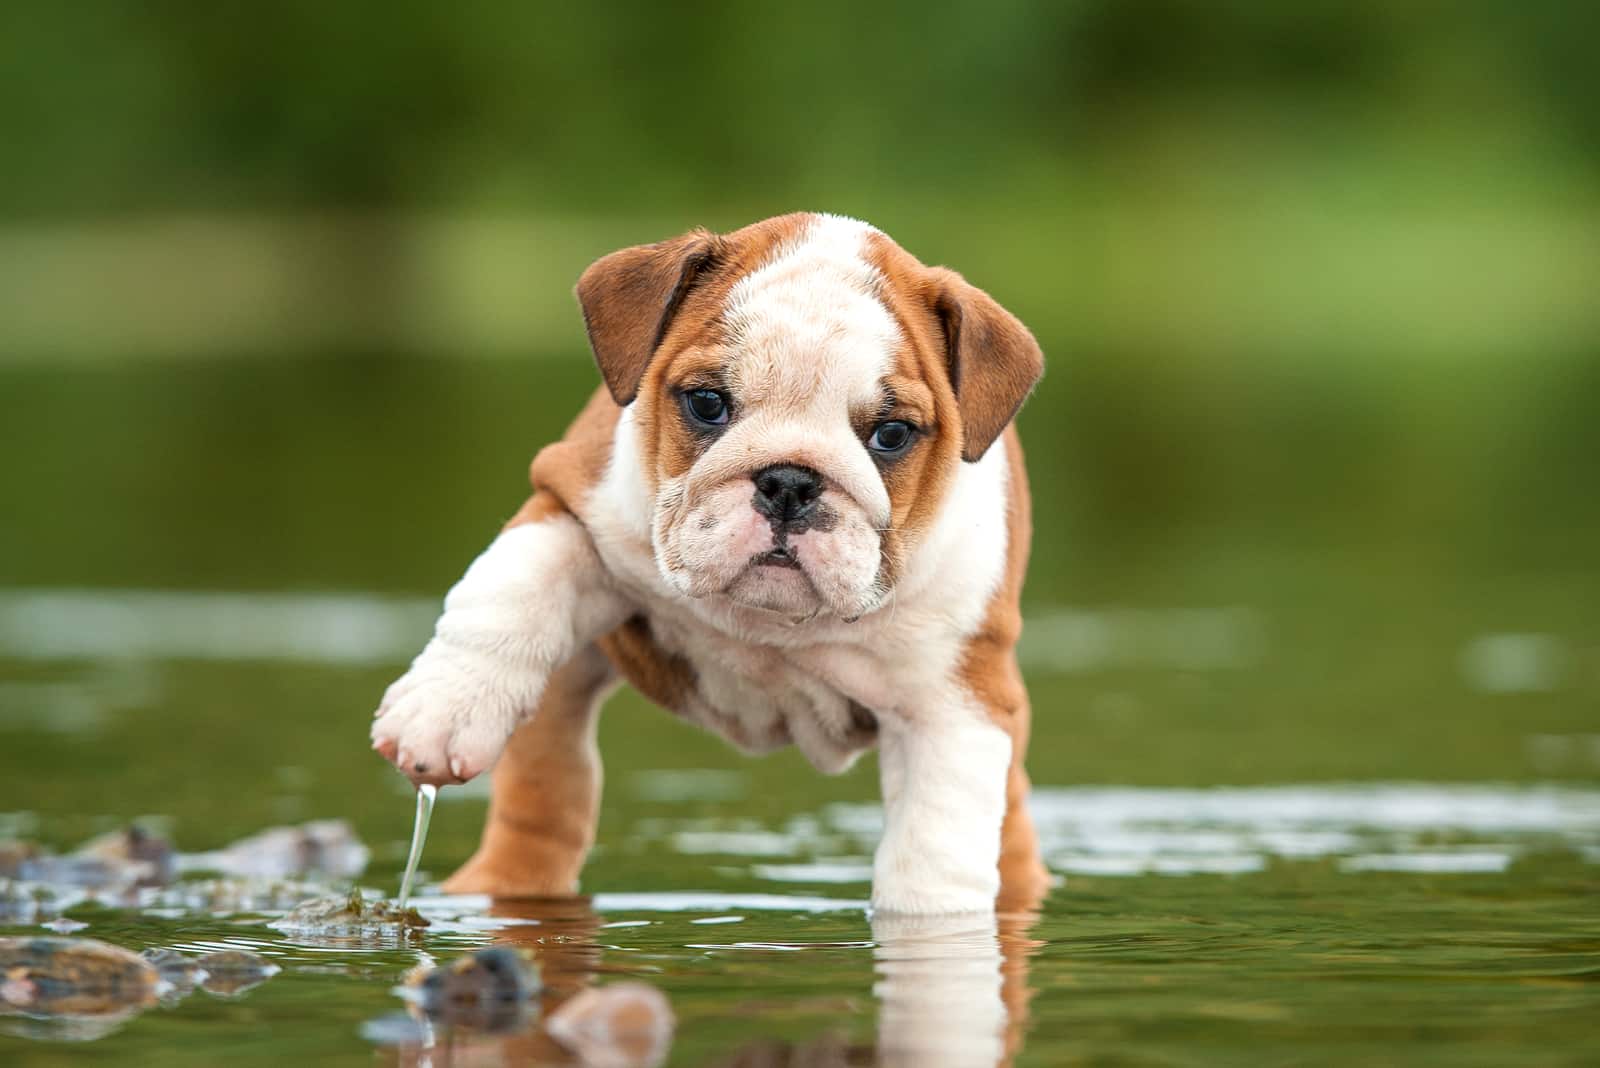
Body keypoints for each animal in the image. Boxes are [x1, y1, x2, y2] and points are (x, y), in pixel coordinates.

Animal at [371, 212, 1049, 914]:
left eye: (891, 434)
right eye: (706, 402)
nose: (789, 481)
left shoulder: (954, 701)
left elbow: (932, 850)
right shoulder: (572, 501)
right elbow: (510, 591)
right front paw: (446, 709)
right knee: (548, 791)